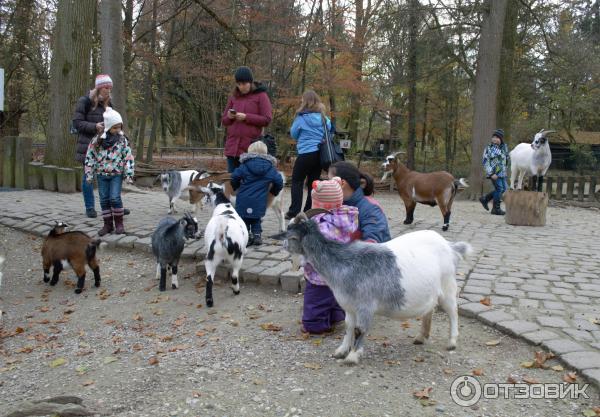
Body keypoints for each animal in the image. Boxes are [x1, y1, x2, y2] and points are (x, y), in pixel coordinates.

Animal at [278, 214, 472, 364]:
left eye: (291, 235)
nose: (283, 245)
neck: (345, 263)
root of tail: (449, 246)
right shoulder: (349, 306)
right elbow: (349, 327)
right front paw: (341, 351)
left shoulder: (366, 306)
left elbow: (360, 329)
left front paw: (353, 356)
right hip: (430, 291)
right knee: (429, 310)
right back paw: (421, 337)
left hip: (448, 285)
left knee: (453, 311)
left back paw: (452, 341)